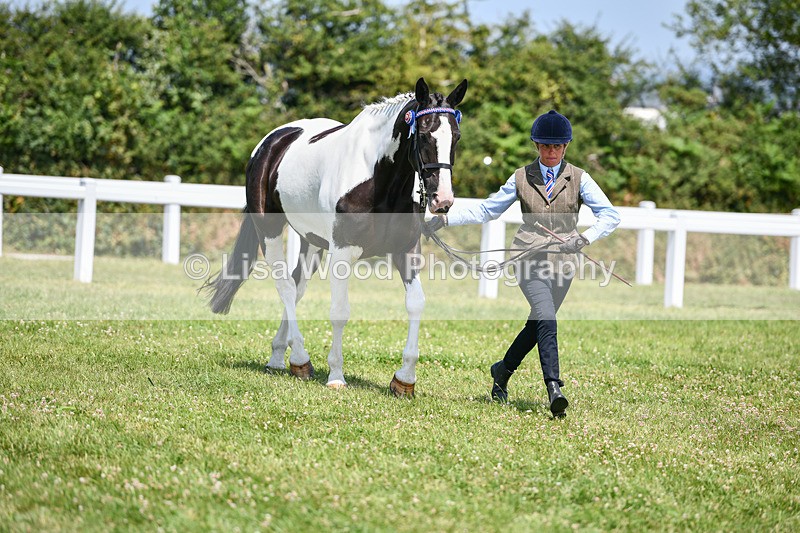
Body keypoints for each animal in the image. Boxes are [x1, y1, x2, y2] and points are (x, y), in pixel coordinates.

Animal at [201, 77, 468, 397]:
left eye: (456, 137)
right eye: (425, 134)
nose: (443, 200)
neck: (379, 179)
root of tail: (271, 143)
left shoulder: (406, 249)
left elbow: (415, 303)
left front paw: (404, 380)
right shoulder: (342, 251)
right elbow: (340, 311)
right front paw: (336, 375)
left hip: (312, 242)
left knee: (296, 287)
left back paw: (279, 356)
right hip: (270, 230)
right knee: (285, 287)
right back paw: (300, 359)